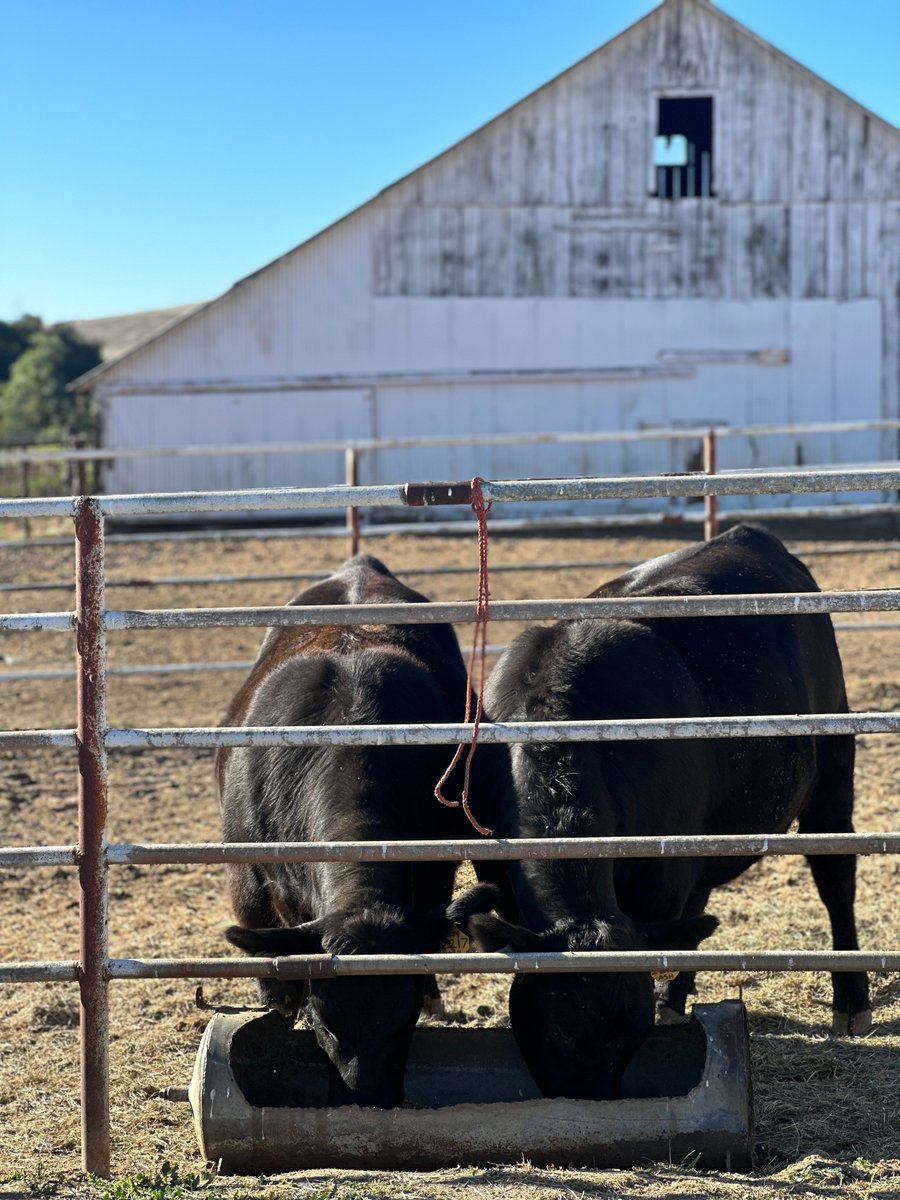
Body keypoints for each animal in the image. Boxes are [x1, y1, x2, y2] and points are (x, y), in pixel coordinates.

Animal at [460, 524, 871, 1101]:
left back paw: (851, 1000)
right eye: (559, 1030)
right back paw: (677, 998)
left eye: (630, 1034)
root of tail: (751, 534)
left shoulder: (659, 880)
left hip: (833, 766)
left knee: (836, 877)